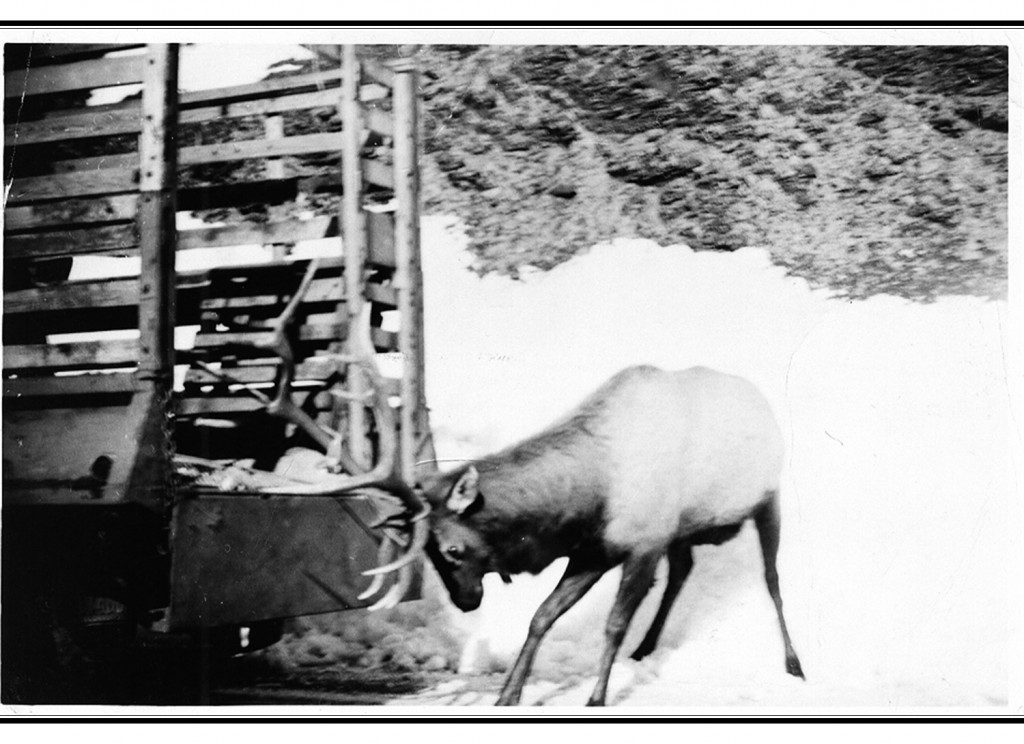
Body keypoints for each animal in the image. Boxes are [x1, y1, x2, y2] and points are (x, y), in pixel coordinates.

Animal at [372, 364, 802, 704]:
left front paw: (596, 698)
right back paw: (645, 648)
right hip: (681, 532)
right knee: (682, 570)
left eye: (453, 549)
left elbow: (613, 625)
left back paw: (794, 663)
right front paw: (508, 695)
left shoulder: (643, 545)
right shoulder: (593, 551)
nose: (465, 602)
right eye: (427, 553)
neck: (589, 496)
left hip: (769, 500)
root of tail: (763, 404)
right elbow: (541, 617)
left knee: (772, 579)